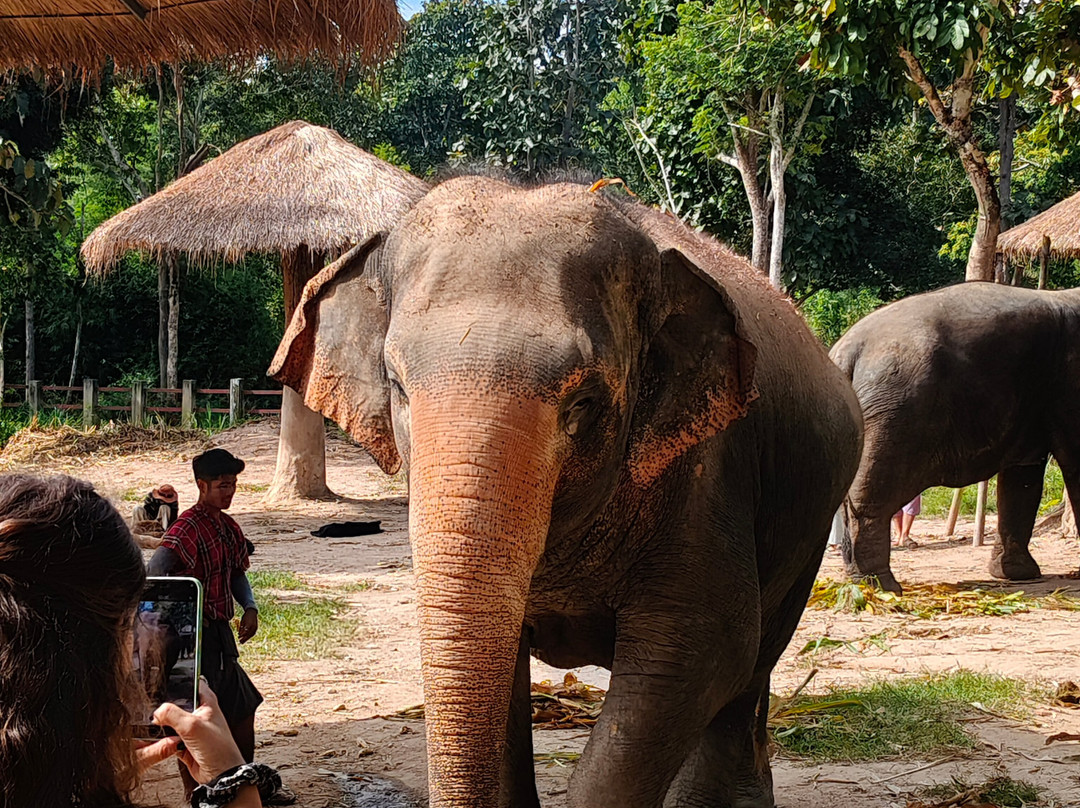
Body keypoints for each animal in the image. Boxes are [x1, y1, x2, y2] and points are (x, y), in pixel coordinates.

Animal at [270, 175, 862, 808]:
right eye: (398, 385)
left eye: (583, 403)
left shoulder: (709, 473)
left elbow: (704, 648)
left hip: (809, 521)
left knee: (754, 661)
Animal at [830, 281, 1080, 593]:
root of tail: (846, 352)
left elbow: (1021, 479)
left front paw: (1015, 575)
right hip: (895, 411)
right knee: (872, 496)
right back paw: (880, 586)